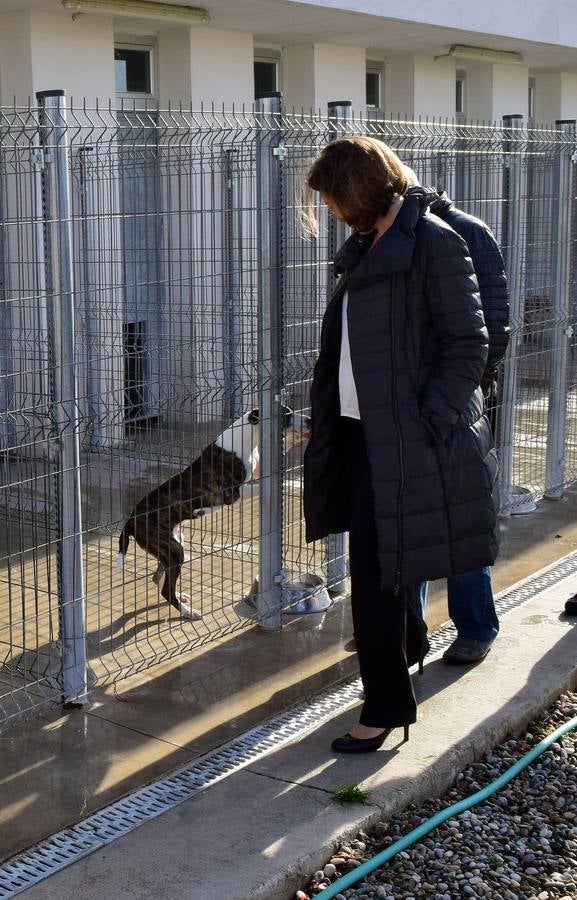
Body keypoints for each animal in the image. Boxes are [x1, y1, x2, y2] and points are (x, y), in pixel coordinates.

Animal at [114, 408, 308, 620]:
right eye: (286, 415)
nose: (308, 420)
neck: (248, 435)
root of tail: (130, 519)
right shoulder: (232, 494)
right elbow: (261, 485)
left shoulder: (256, 467)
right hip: (174, 551)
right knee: (166, 590)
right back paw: (188, 612)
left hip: (173, 542)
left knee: (158, 578)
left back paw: (181, 598)